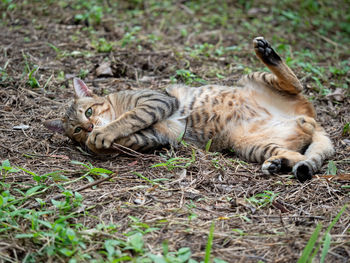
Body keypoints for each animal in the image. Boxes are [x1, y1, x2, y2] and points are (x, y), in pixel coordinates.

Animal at [45, 37, 334, 183]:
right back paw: (277, 164)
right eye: (77, 130)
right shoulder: (159, 137)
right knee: (298, 157)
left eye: (88, 113)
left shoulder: (156, 101)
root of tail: (309, 120)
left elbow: (131, 117)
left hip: (255, 78)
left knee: (295, 83)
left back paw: (267, 51)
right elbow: (131, 136)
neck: (115, 105)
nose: (90, 127)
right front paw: (96, 142)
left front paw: (104, 134)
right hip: (250, 145)